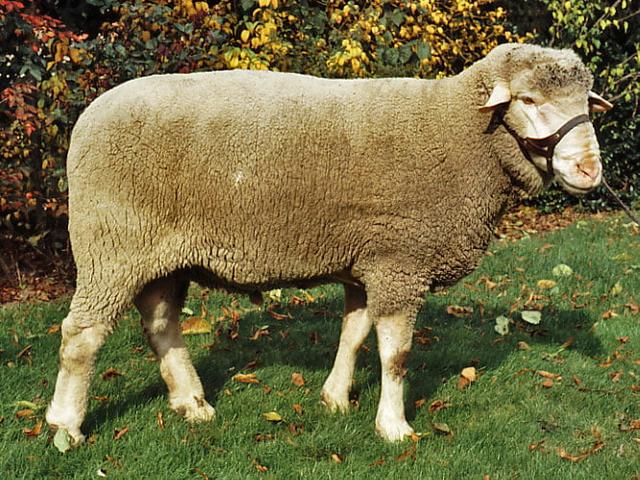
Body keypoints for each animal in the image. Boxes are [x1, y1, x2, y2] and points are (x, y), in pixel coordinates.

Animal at [46, 43, 611, 445]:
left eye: (586, 104)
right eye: (529, 100)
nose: (589, 171)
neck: (459, 130)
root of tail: (88, 118)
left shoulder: (371, 259)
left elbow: (354, 335)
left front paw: (336, 398)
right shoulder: (401, 261)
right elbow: (397, 355)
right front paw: (394, 427)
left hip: (159, 255)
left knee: (161, 325)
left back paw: (192, 404)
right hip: (112, 245)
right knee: (81, 336)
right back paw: (65, 426)